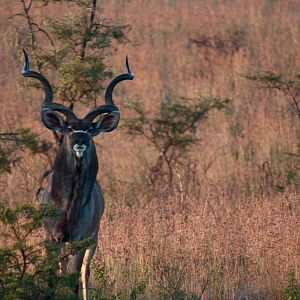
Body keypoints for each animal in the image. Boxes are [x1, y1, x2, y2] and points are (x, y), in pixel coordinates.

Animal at [21, 50, 134, 298]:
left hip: (94, 239)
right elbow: (53, 277)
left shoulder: (80, 240)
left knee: (84, 272)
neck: (67, 205)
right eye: (70, 128)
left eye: (90, 129)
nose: (80, 141)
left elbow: (74, 277)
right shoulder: (52, 237)